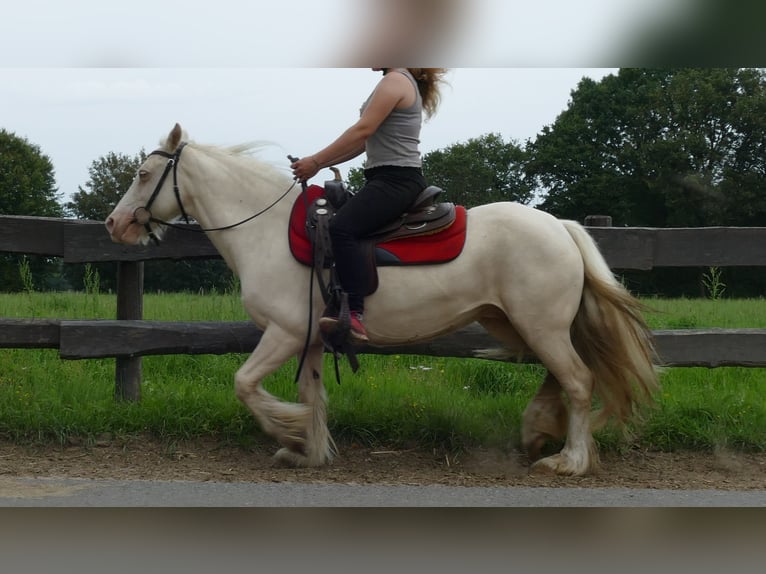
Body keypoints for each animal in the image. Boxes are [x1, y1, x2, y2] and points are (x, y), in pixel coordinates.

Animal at [105, 122, 664, 476]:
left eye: (143, 175)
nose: (114, 224)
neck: (266, 230)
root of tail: (560, 225)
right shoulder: (311, 338)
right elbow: (312, 395)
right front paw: (309, 451)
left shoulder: (284, 333)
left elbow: (245, 385)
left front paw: (288, 431)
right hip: (514, 323)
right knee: (561, 375)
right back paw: (538, 430)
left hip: (540, 325)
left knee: (579, 380)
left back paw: (569, 461)